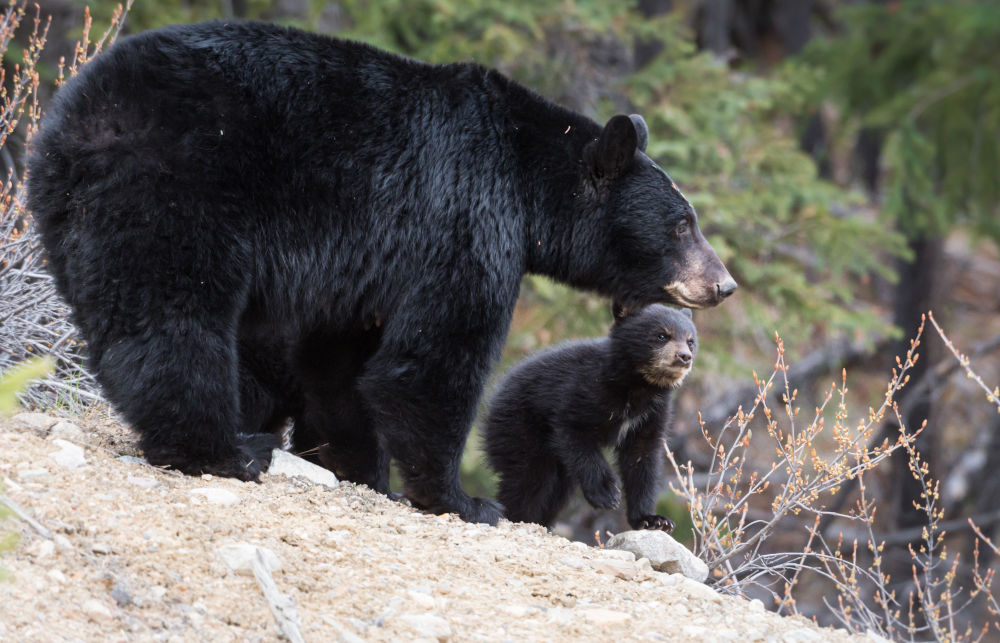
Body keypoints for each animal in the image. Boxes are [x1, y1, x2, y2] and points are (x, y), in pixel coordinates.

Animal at [484, 304, 696, 532]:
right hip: (519, 427)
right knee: (530, 479)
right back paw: (520, 517)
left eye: (690, 341)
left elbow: (642, 459)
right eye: (662, 335)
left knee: (556, 491)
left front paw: (653, 520)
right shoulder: (586, 389)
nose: (684, 356)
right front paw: (607, 494)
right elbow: (575, 432)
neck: (637, 387)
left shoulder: (653, 413)